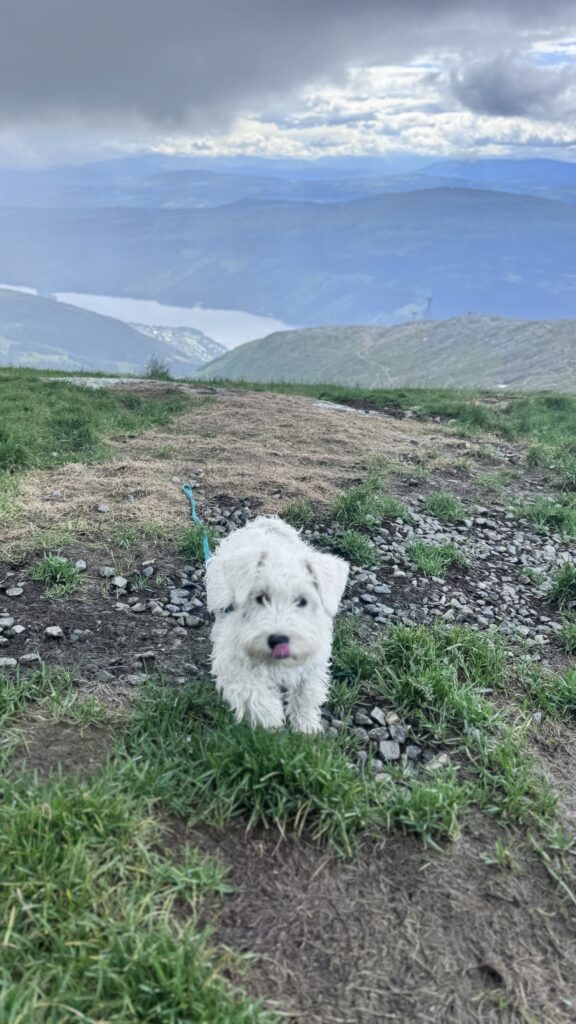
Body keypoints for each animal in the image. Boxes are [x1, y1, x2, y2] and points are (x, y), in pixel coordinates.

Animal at [205, 516, 349, 733]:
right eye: (261, 597)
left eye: (302, 601)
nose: (278, 639)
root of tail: (264, 522)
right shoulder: (232, 661)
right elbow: (252, 691)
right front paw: (271, 720)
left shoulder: (313, 660)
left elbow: (307, 692)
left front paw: (306, 726)